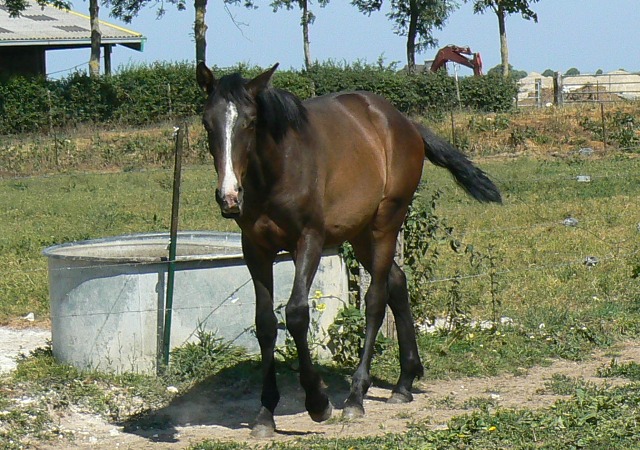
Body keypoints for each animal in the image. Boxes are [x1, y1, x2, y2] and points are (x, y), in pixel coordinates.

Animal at [195, 62, 500, 436]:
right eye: (207, 122)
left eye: (251, 122)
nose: (229, 197)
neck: (278, 170)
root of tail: (405, 123)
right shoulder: (255, 248)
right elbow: (265, 323)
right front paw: (265, 413)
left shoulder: (308, 240)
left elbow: (297, 314)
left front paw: (318, 402)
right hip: (361, 234)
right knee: (397, 282)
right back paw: (404, 383)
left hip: (385, 224)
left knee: (376, 300)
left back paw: (356, 396)